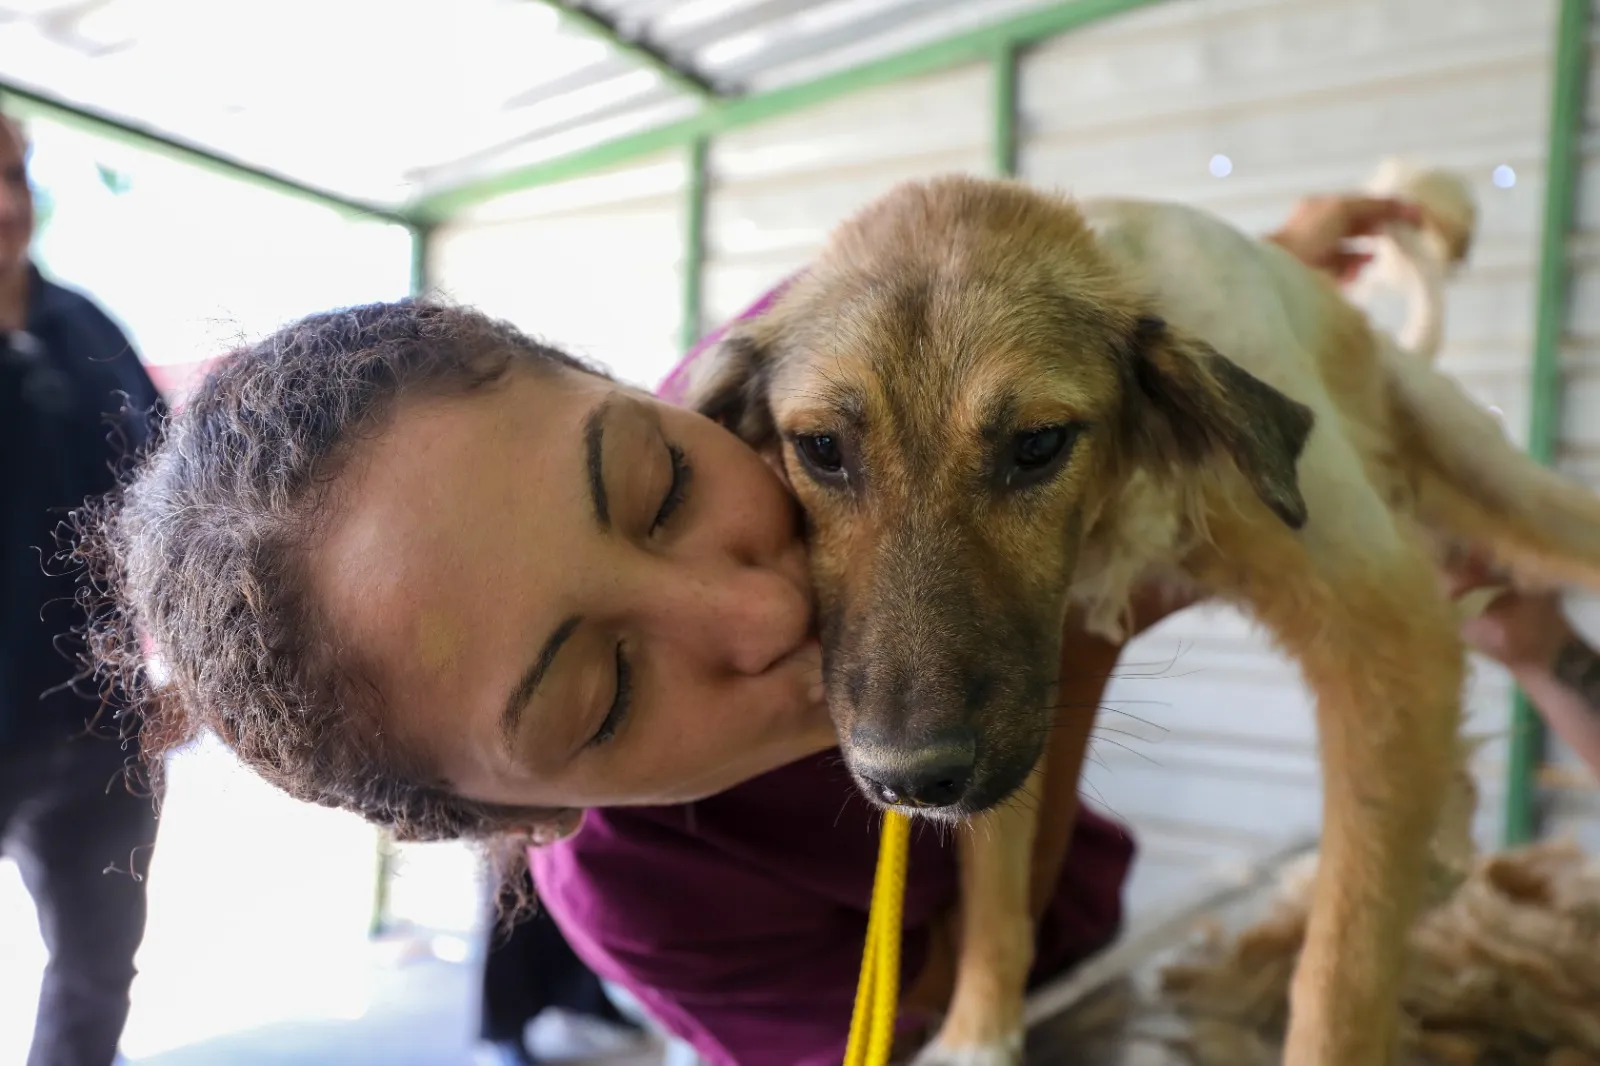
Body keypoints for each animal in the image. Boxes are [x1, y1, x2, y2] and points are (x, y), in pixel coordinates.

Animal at [678, 170, 1600, 1056]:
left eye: (1039, 443)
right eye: (821, 450)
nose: (908, 782)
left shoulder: (1385, 629)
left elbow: (1345, 959)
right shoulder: (1033, 683)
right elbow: (997, 891)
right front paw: (977, 1033)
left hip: (1515, 493)